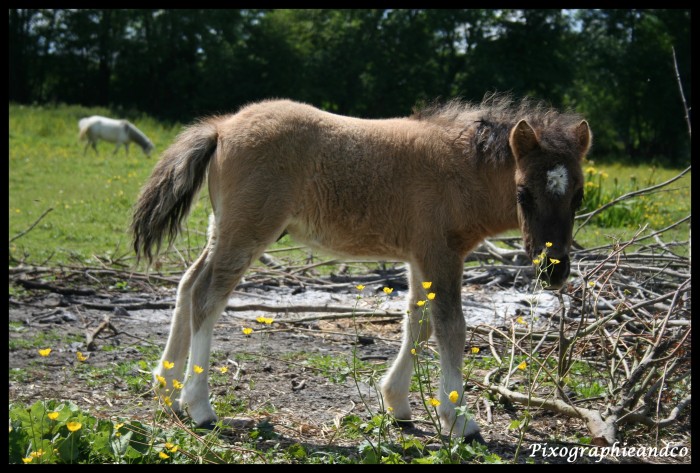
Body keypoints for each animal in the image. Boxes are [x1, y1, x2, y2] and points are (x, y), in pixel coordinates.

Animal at [130, 97, 592, 442]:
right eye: (523, 193)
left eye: (579, 195)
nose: (554, 271)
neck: (461, 170)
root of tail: (222, 126)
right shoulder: (441, 253)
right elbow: (450, 327)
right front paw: (459, 420)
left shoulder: (419, 256)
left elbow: (417, 322)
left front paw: (398, 405)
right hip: (247, 230)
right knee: (207, 296)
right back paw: (200, 407)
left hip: (222, 226)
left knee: (187, 285)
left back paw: (166, 389)